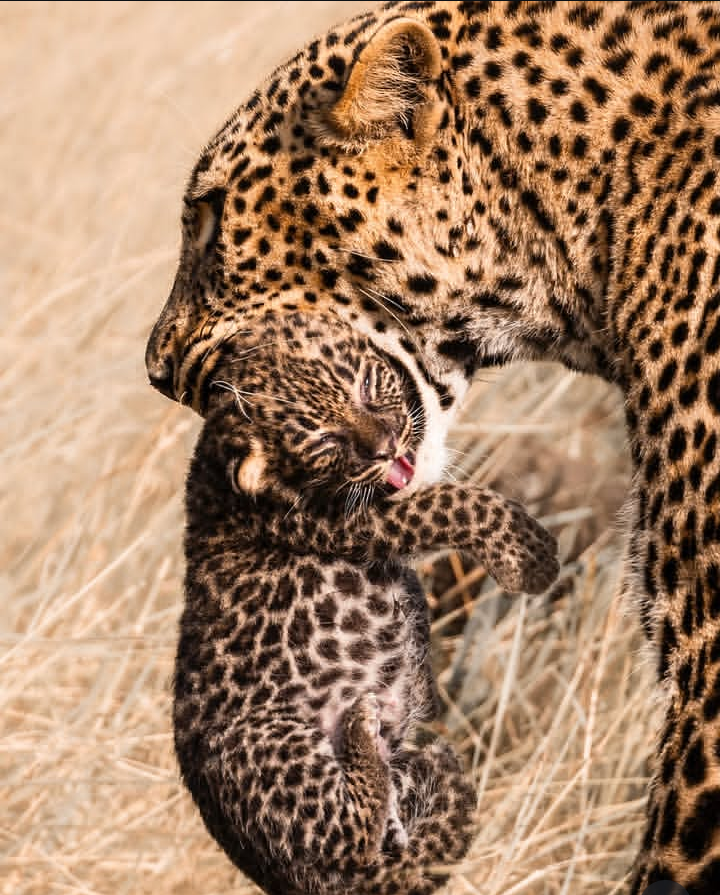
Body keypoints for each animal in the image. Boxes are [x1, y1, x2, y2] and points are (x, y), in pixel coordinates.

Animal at [176, 309, 560, 895]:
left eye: (362, 385)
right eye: (325, 439)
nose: (387, 444)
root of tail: (287, 877)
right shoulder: (352, 522)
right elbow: (451, 501)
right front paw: (530, 554)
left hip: (416, 773)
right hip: (273, 744)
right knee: (352, 826)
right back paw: (360, 728)